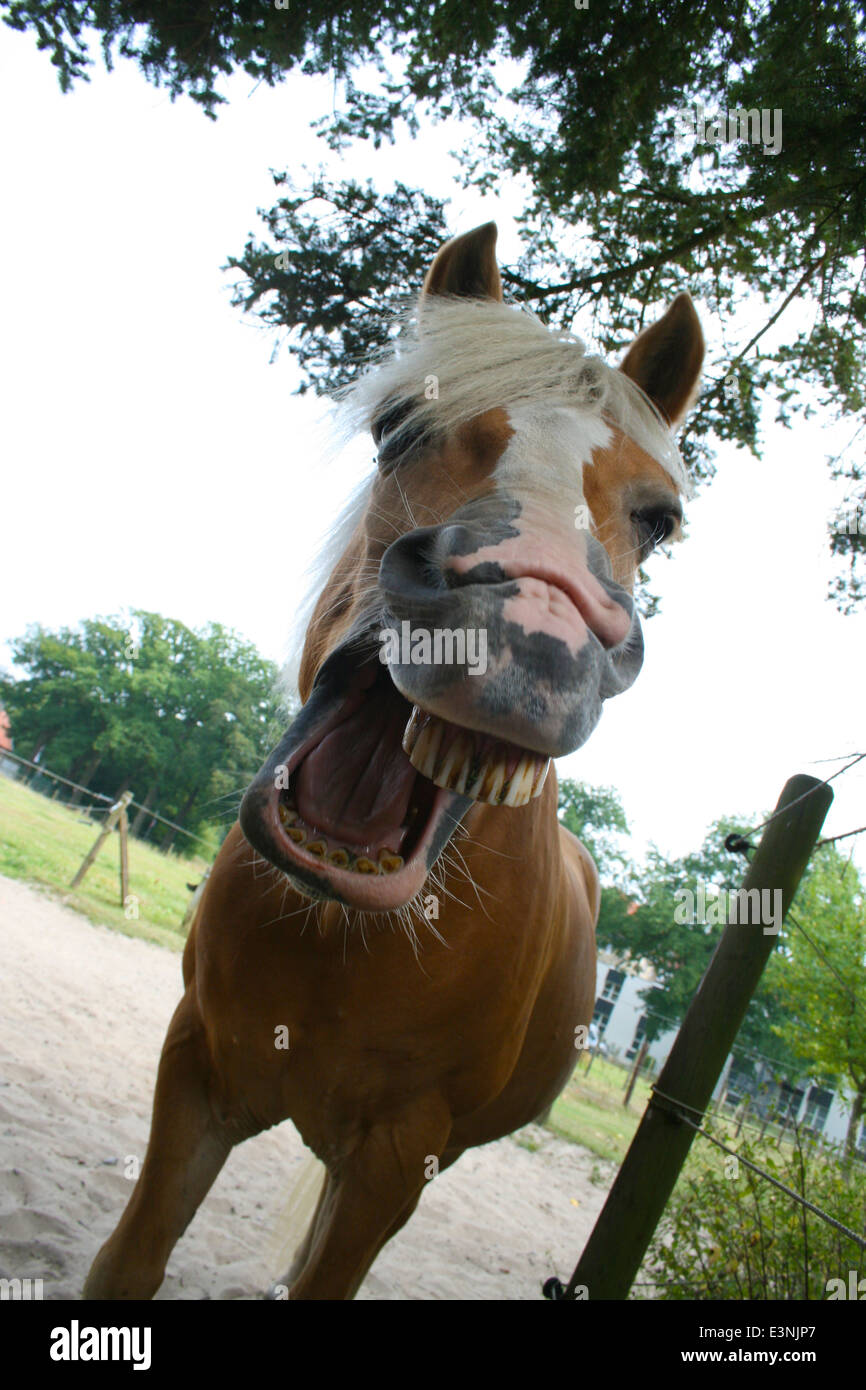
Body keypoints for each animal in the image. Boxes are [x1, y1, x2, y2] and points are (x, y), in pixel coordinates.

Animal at [83, 222, 706, 1295]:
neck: (341, 936)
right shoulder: (198, 1063)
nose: (529, 633)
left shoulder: (398, 1160)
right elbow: (126, 1265)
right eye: (398, 425)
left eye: (659, 518)